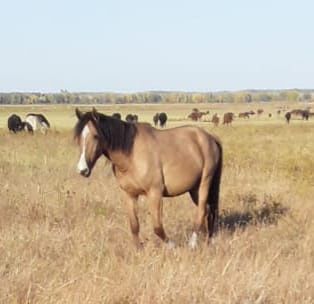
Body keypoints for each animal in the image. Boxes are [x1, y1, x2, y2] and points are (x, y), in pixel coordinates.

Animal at [73, 108, 222, 248]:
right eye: (79, 138)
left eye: (96, 136)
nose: (82, 170)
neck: (131, 155)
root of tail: (210, 137)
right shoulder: (129, 195)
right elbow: (134, 226)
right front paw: (138, 250)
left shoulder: (155, 193)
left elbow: (157, 227)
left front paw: (171, 246)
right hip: (194, 188)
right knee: (207, 210)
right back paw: (207, 239)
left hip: (204, 183)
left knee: (202, 210)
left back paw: (193, 243)